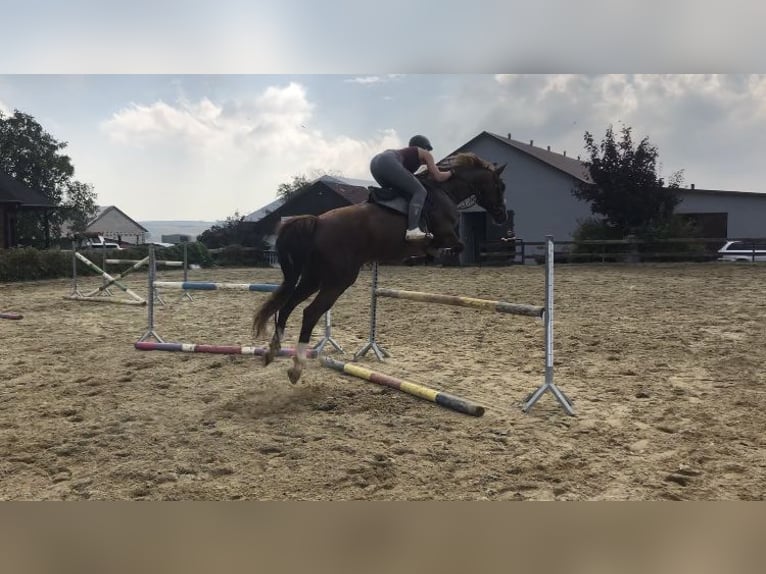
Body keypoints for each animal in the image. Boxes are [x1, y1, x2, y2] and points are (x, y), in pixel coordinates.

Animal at [252, 152, 509, 383]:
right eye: (500, 186)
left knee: (287, 306)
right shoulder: (445, 235)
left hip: (313, 278)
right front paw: (433, 255)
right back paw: (297, 367)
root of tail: (318, 222)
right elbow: (454, 246)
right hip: (338, 280)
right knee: (310, 313)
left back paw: (273, 351)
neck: (445, 192)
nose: (502, 216)